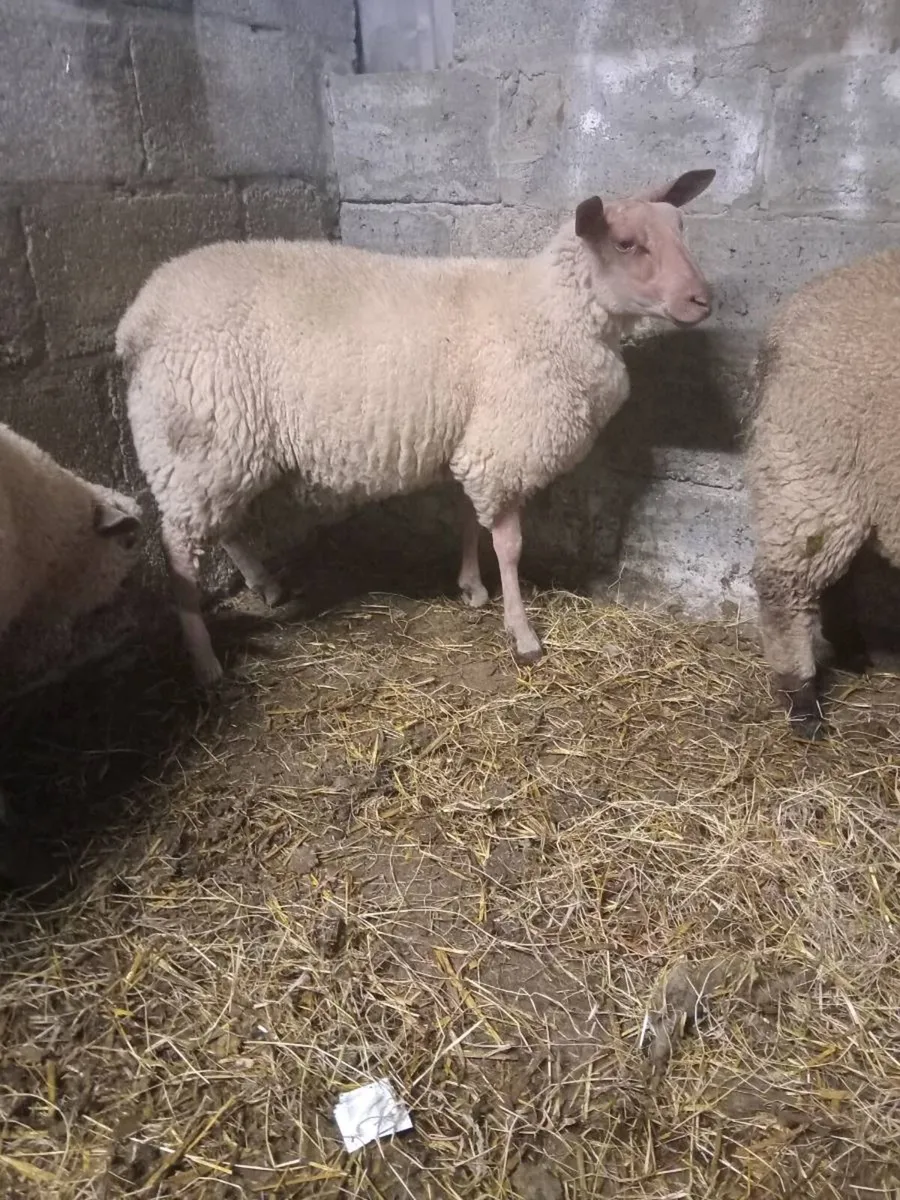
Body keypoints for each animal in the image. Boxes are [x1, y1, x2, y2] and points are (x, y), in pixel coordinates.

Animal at [117, 168, 716, 686]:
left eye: (680, 228)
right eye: (626, 244)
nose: (703, 301)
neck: (553, 314)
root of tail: (140, 315)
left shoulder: (471, 441)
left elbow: (469, 519)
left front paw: (472, 588)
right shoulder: (504, 448)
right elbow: (510, 546)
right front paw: (522, 634)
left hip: (220, 444)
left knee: (223, 524)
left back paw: (266, 586)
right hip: (198, 437)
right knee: (180, 549)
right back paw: (204, 661)